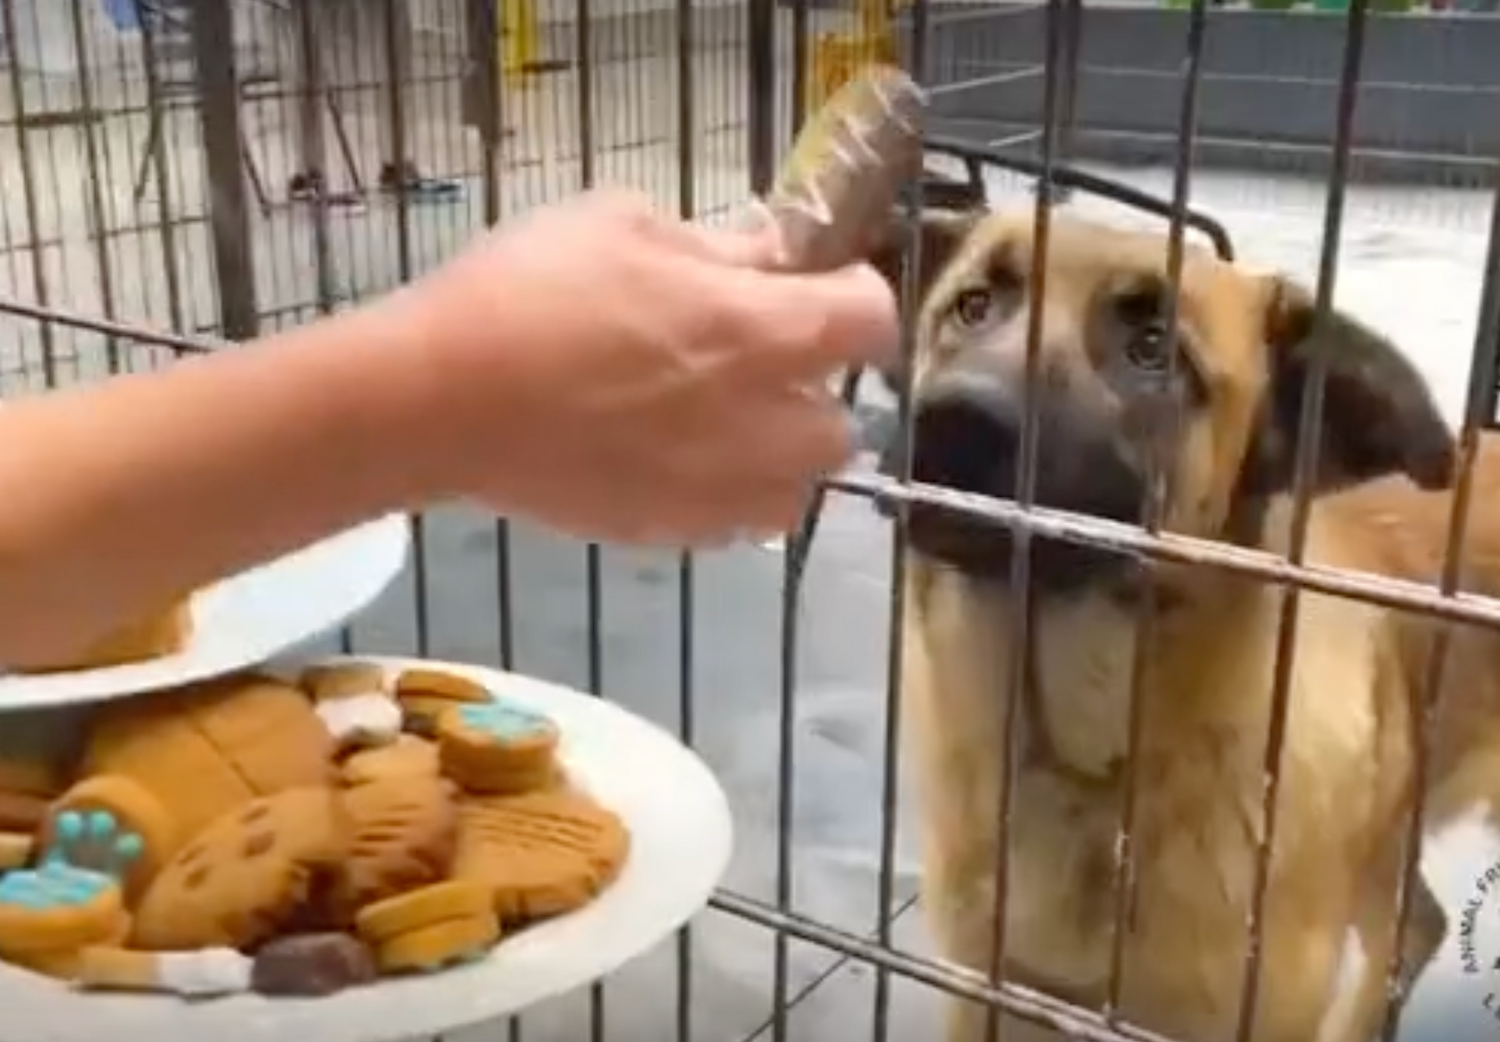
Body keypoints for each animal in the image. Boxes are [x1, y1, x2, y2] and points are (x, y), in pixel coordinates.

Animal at [864, 203, 1500, 1042]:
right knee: (1420, 923)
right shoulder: (985, 991)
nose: (950, 422)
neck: (1081, 771)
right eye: (974, 306)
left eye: (1154, 350)